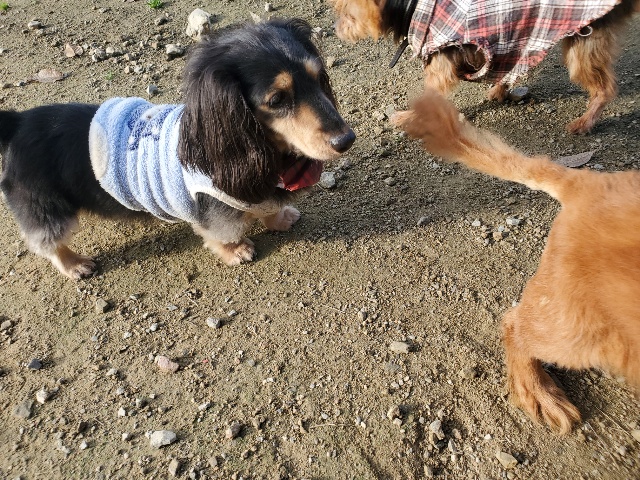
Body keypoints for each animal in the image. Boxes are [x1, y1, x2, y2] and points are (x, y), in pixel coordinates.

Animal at [0, 18, 355, 280]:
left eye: (319, 78)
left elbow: (268, 208)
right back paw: (74, 264)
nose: (346, 140)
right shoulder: (213, 208)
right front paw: (235, 250)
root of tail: (18, 122)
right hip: (46, 207)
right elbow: (221, 232)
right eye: (277, 99)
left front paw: (280, 217)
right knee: (48, 242)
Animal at [331, 0, 639, 134]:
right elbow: (508, 67)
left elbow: (432, 91)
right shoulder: (512, 37)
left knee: (605, 87)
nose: (335, 29)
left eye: (347, 15)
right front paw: (500, 91)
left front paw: (408, 117)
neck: (410, 7)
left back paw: (584, 122)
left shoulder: (441, 57)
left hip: (584, 40)